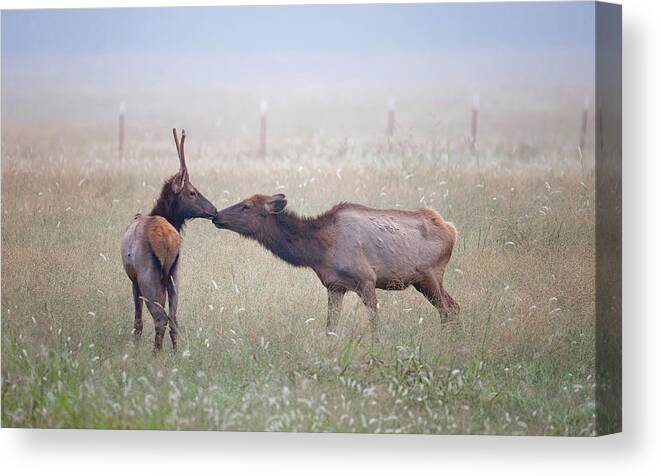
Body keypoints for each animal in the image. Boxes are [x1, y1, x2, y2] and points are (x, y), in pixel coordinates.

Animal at [120, 128, 218, 352]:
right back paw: (175, 353)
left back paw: (156, 354)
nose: (215, 210)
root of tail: (167, 240)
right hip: (174, 274)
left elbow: (137, 320)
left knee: (160, 318)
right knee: (173, 317)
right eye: (192, 192)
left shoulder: (133, 279)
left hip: (148, 276)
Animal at [213, 194, 458, 338]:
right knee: (454, 307)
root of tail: (451, 229)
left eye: (246, 206)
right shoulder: (334, 286)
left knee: (446, 311)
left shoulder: (366, 280)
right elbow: (330, 326)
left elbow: (374, 323)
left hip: (430, 274)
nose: (216, 215)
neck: (319, 251)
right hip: (424, 281)